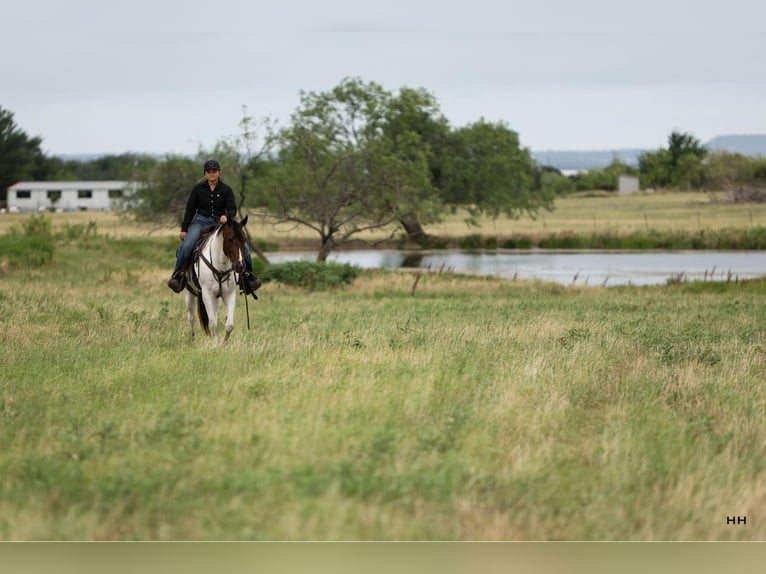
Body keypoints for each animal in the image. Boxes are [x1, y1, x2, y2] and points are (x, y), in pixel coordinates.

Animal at [184, 216, 249, 345]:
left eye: (244, 239)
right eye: (230, 239)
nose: (240, 266)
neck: (220, 266)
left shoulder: (229, 294)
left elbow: (229, 325)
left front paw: (223, 344)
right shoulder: (207, 295)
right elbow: (212, 324)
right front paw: (215, 346)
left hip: (217, 298)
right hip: (190, 293)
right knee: (191, 318)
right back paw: (193, 340)